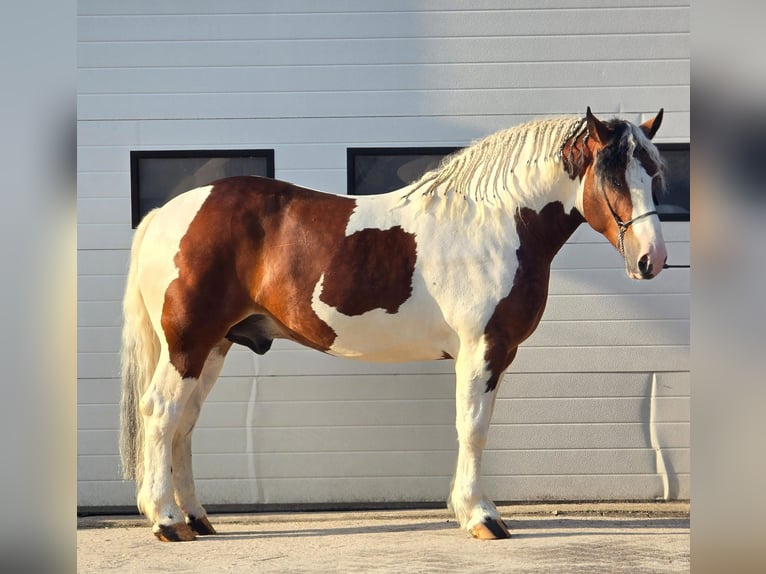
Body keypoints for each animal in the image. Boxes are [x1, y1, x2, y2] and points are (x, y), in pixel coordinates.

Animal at [120, 107, 668, 542]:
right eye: (613, 176)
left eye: (656, 173)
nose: (652, 260)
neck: (496, 224)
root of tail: (165, 214)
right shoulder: (483, 348)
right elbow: (473, 428)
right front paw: (481, 517)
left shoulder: (495, 353)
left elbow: (474, 427)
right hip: (187, 344)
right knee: (162, 412)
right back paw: (168, 521)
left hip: (213, 346)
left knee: (185, 423)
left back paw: (197, 517)